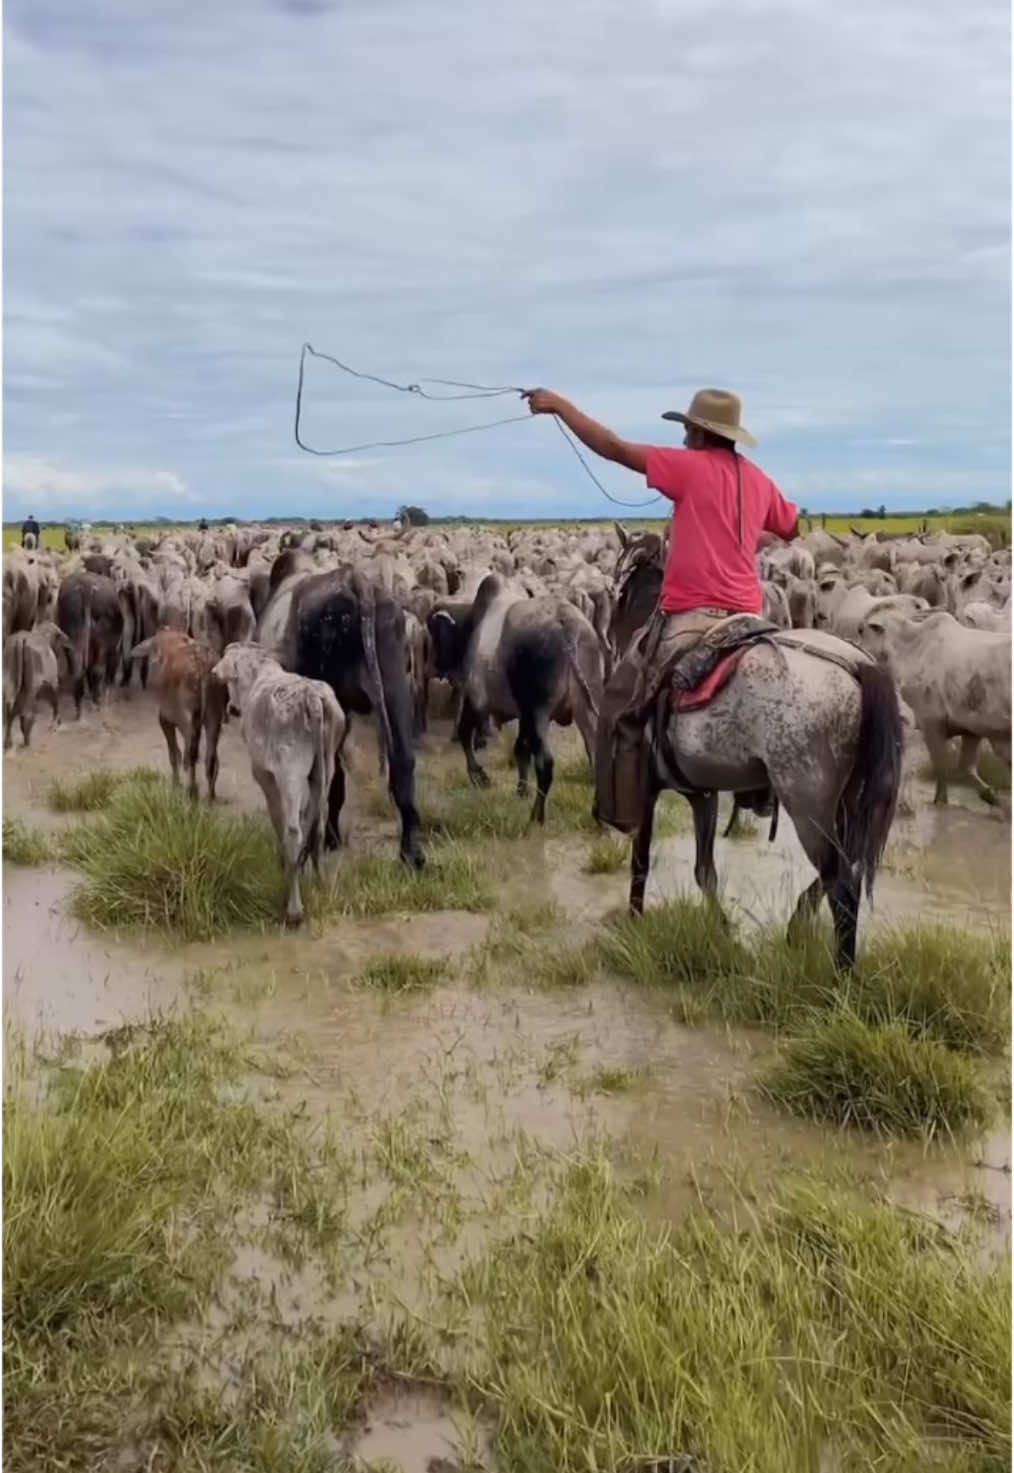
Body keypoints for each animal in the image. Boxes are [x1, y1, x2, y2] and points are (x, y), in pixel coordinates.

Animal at [127, 627, 226, 801]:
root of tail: (202, 665)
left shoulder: (165, 718)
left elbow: (174, 754)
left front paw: (176, 784)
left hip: (188, 717)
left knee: (191, 751)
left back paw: (192, 791)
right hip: (214, 715)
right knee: (210, 755)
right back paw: (210, 795)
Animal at [610, 536, 901, 972]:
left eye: (620, 584)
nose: (612, 636)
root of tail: (857, 665)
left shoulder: (648, 786)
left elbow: (641, 860)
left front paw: (633, 921)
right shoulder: (703, 794)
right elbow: (704, 870)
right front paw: (724, 930)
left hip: (808, 807)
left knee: (842, 885)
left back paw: (841, 973)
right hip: (848, 802)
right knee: (843, 868)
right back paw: (799, 925)